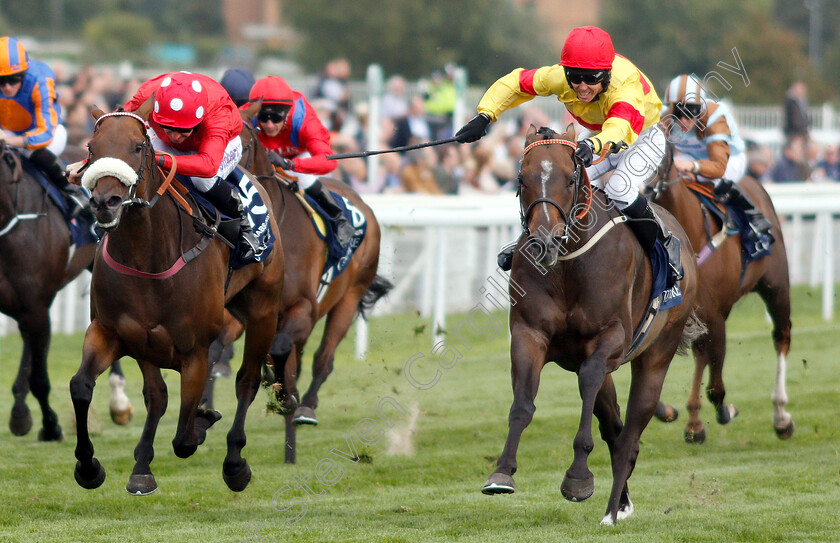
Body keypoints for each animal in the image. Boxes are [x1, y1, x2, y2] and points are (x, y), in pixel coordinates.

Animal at [0, 141, 133, 442]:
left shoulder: (36, 307)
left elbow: (39, 380)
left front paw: (51, 427)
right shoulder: (32, 308)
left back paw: (119, 401)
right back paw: (19, 412)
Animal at [70, 103, 286, 498]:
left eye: (139, 146)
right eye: (91, 148)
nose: (106, 203)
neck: (147, 254)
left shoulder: (194, 349)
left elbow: (184, 438)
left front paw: (202, 422)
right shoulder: (113, 332)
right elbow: (82, 386)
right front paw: (89, 467)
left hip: (264, 310)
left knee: (246, 380)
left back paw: (235, 463)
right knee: (157, 395)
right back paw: (142, 466)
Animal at [202, 106, 392, 464]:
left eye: (240, 144)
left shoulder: (302, 308)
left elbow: (280, 352)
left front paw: (285, 394)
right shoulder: (243, 308)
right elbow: (218, 345)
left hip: (348, 298)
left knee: (323, 359)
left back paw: (305, 408)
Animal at [480, 125, 704, 524]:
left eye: (570, 180)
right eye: (521, 180)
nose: (544, 242)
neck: (568, 264)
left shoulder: (610, 338)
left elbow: (588, 387)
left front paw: (578, 478)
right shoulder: (528, 334)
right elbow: (522, 404)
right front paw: (502, 472)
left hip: (656, 355)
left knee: (629, 437)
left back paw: (612, 512)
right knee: (614, 429)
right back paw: (622, 503)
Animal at [644, 143, 796, 442]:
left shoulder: (714, 313)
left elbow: (716, 387)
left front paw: (727, 410)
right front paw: (670, 411)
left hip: (776, 286)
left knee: (781, 337)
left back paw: (781, 415)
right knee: (702, 353)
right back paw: (694, 419)